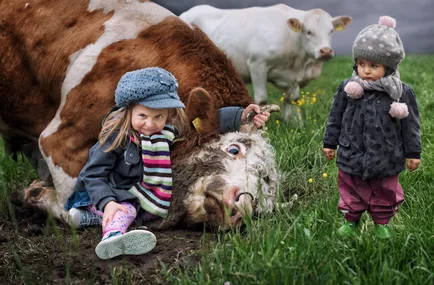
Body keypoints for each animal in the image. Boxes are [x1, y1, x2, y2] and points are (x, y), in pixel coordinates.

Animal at [0, 0, 278, 229]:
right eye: (234, 149)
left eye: (264, 195)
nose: (242, 207)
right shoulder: (60, 140)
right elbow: (76, 209)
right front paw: (33, 194)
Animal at [180, 5, 352, 119]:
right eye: (309, 32)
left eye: (331, 31)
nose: (326, 51)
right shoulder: (258, 64)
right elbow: (262, 100)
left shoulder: (293, 77)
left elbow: (292, 100)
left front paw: (294, 123)